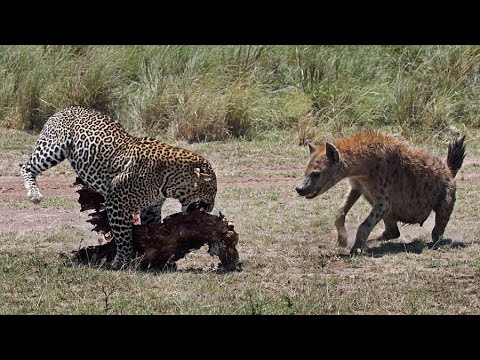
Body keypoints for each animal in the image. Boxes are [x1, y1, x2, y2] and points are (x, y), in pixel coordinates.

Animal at [21, 105, 218, 268]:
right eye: (212, 191)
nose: (210, 208)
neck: (169, 181)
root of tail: (65, 108)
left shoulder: (151, 208)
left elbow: (151, 231)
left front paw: (152, 257)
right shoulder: (117, 203)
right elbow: (124, 237)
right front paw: (121, 262)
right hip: (52, 148)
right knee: (26, 166)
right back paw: (34, 194)